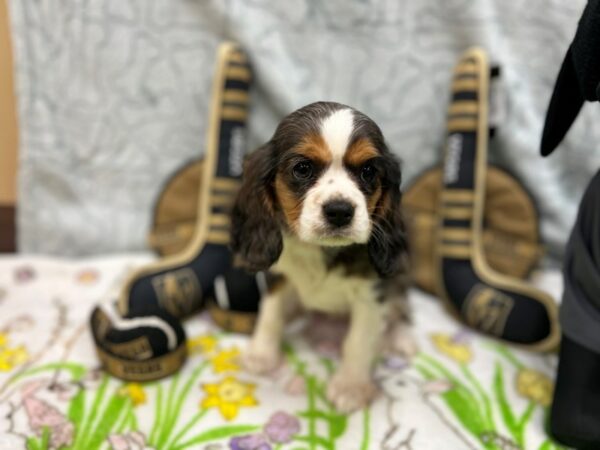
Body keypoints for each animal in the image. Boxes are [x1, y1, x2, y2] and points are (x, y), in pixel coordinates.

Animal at [230, 100, 412, 414]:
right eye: (302, 168)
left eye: (368, 171)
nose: (339, 211)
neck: (320, 249)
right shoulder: (280, 274)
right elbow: (271, 311)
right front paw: (262, 353)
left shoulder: (371, 295)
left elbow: (358, 341)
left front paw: (350, 386)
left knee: (400, 306)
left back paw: (400, 337)